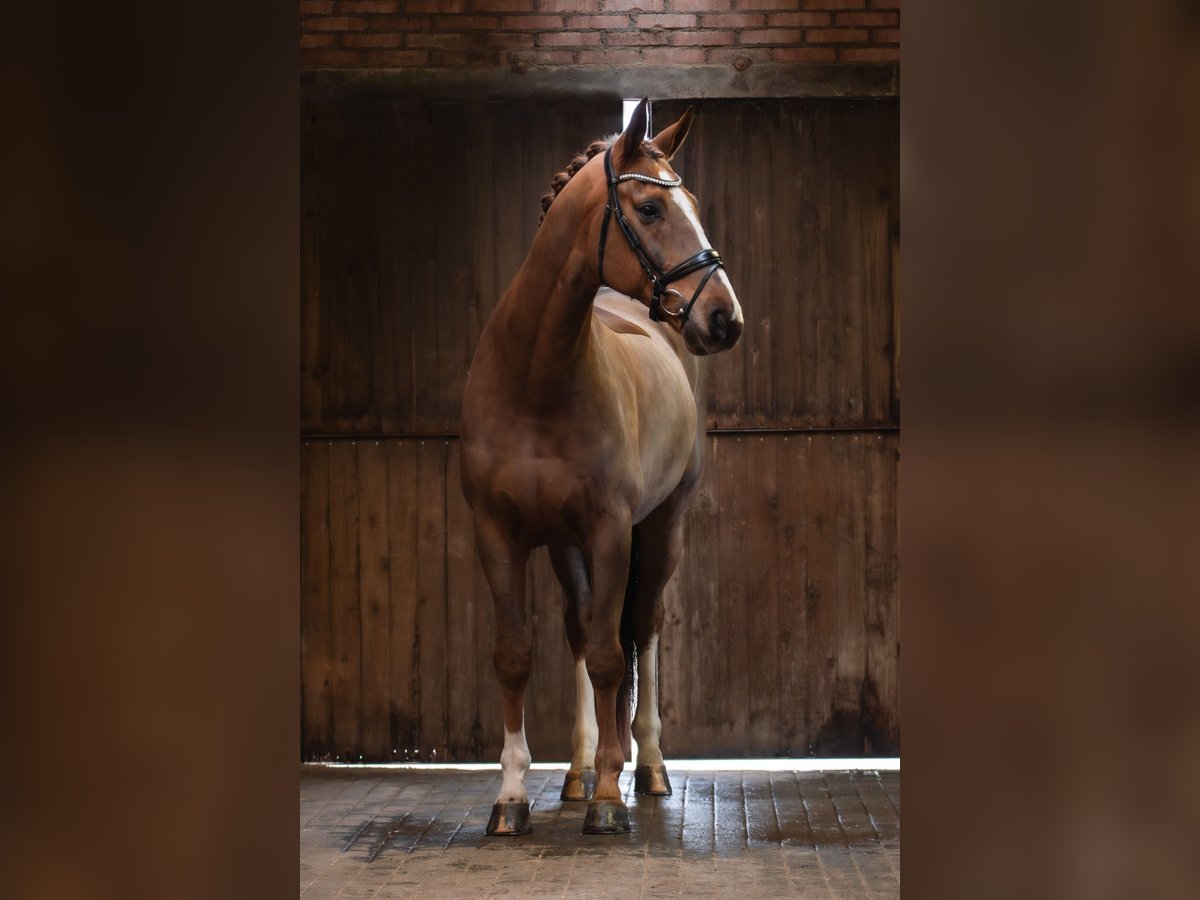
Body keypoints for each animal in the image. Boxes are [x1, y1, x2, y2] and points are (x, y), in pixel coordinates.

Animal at [458, 100, 739, 840]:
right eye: (649, 207)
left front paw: (611, 799)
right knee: (585, 629)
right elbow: (518, 655)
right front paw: (512, 799)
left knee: (641, 626)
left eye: (693, 205)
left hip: (663, 526)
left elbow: (618, 653)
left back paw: (644, 769)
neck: (536, 381)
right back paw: (581, 770)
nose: (724, 318)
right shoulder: (498, 535)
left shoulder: (611, 530)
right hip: (566, 546)